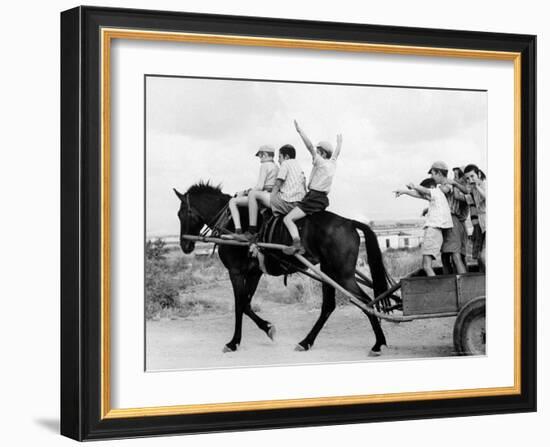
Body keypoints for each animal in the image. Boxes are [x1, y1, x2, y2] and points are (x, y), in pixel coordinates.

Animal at [175, 180, 390, 356]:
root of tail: (349, 222)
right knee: (329, 306)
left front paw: (234, 342)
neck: (231, 222)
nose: (184, 245)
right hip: (329, 271)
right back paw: (306, 342)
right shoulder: (253, 273)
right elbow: (246, 304)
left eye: (182, 213)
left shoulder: (236, 272)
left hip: (342, 275)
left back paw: (378, 343)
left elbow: (239, 305)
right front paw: (268, 328)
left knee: (366, 302)